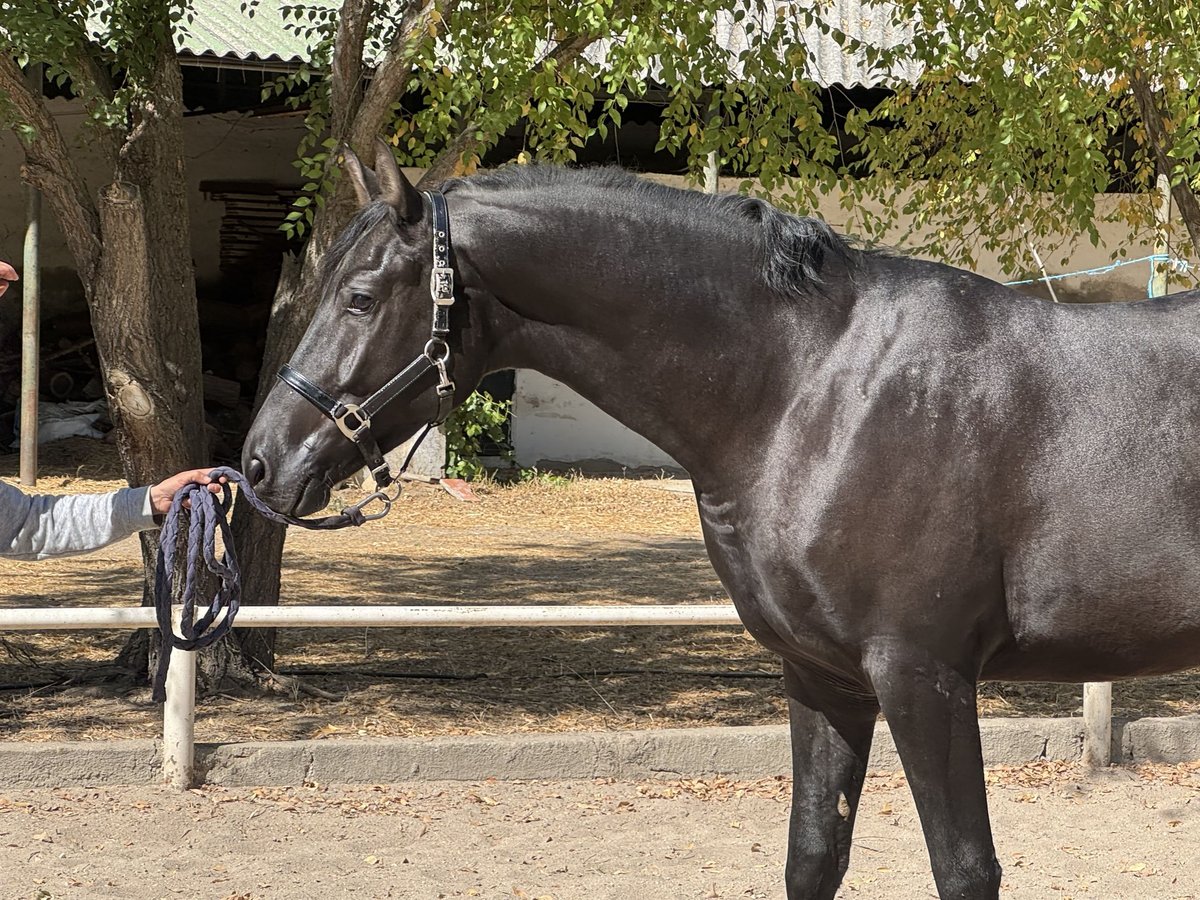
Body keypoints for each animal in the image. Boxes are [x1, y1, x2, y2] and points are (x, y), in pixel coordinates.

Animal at [242, 144, 1200, 900]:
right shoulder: (822, 678)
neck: (810, 388)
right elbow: (813, 859)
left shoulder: (922, 675)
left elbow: (964, 869)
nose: (260, 464)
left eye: (361, 297)